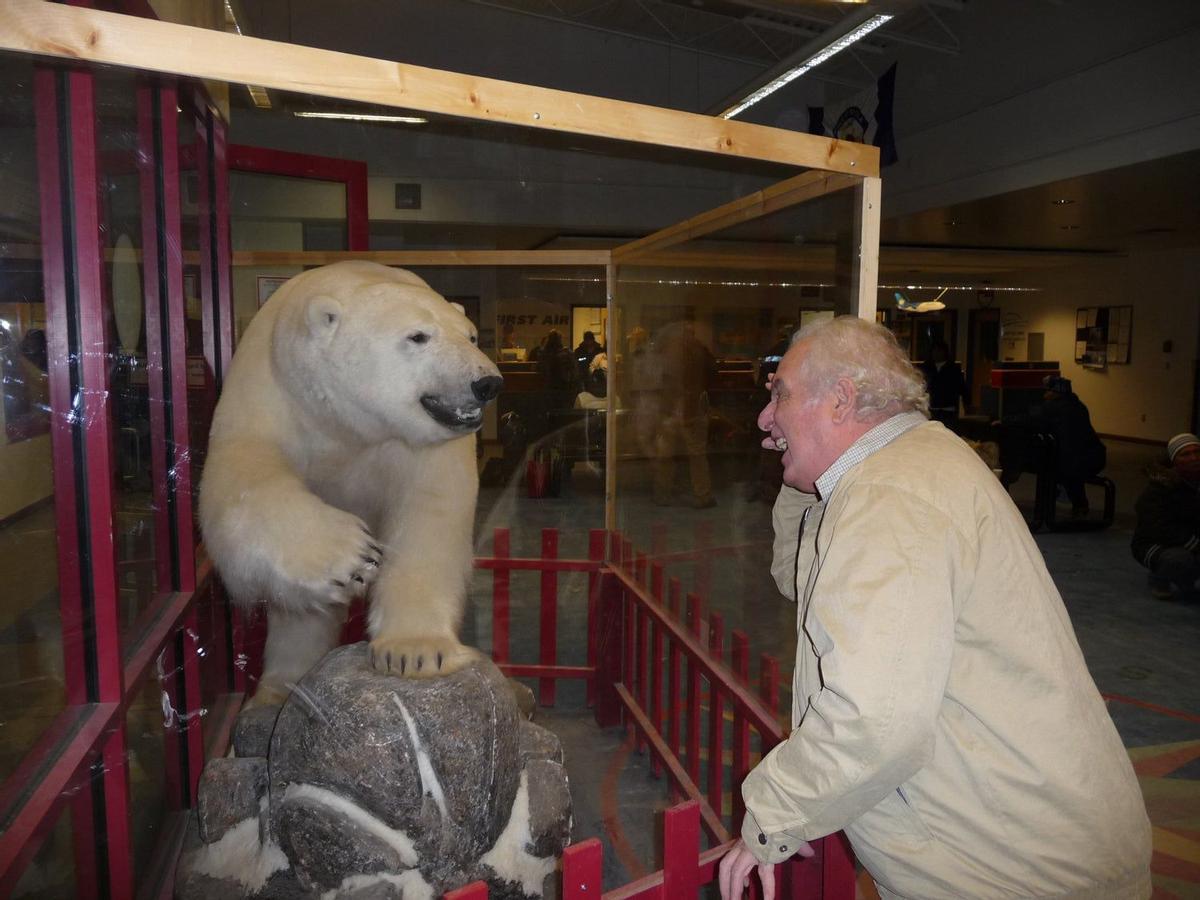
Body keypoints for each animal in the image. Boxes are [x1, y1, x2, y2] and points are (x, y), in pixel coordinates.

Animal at [199, 260, 499, 705]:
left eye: (471, 335)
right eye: (418, 335)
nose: (487, 382)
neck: (347, 425)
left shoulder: (421, 447)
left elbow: (429, 516)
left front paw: (414, 650)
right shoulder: (272, 394)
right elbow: (240, 481)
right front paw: (353, 556)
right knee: (301, 615)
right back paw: (278, 688)